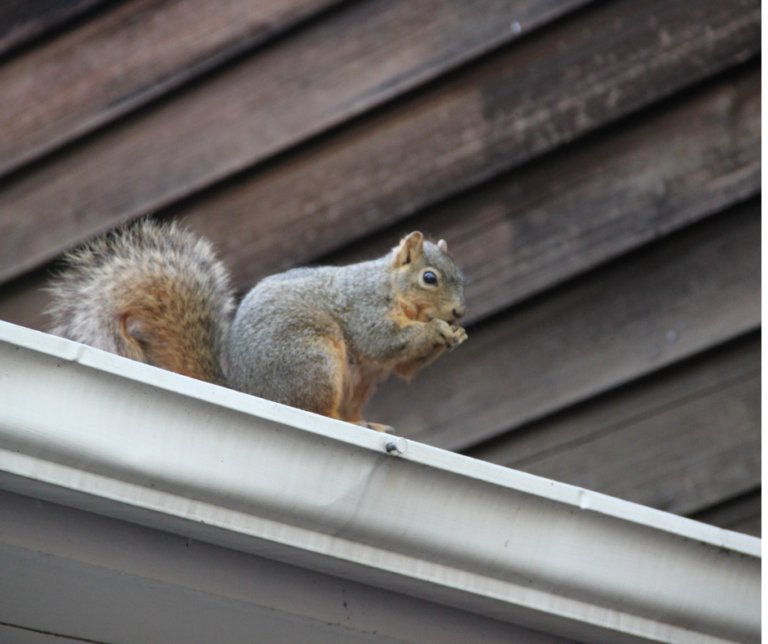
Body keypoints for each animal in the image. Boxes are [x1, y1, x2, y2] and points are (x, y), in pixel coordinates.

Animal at [47, 219, 468, 430]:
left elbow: (404, 366)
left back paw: (367, 425)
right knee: (315, 410)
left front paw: (456, 336)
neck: (390, 288)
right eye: (430, 278)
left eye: (461, 276)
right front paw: (436, 330)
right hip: (313, 361)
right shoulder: (364, 308)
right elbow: (383, 342)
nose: (459, 313)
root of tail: (247, 390)